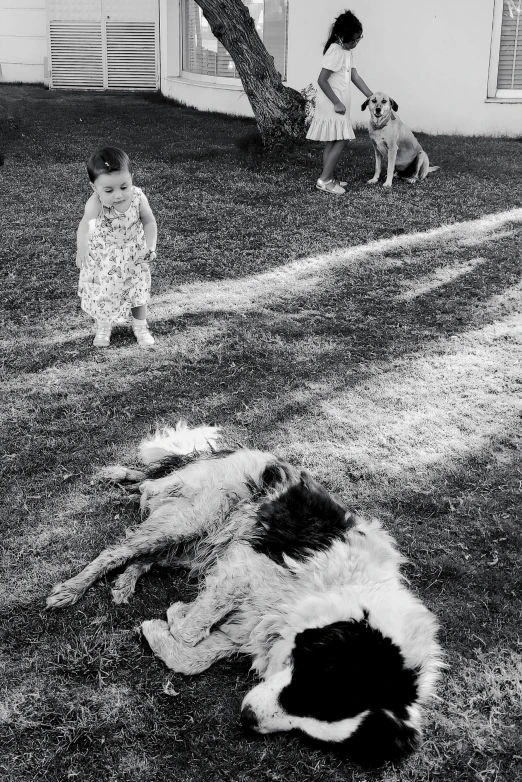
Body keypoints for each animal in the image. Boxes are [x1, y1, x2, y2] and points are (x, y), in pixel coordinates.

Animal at [46, 422, 440, 764]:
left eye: (310, 734)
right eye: (307, 687)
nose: (248, 719)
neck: (338, 597)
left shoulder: (254, 625)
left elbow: (193, 657)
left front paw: (164, 628)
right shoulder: (243, 570)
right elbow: (190, 632)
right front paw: (173, 618)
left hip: (191, 545)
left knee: (143, 555)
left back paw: (124, 583)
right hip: (192, 520)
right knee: (118, 545)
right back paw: (70, 588)